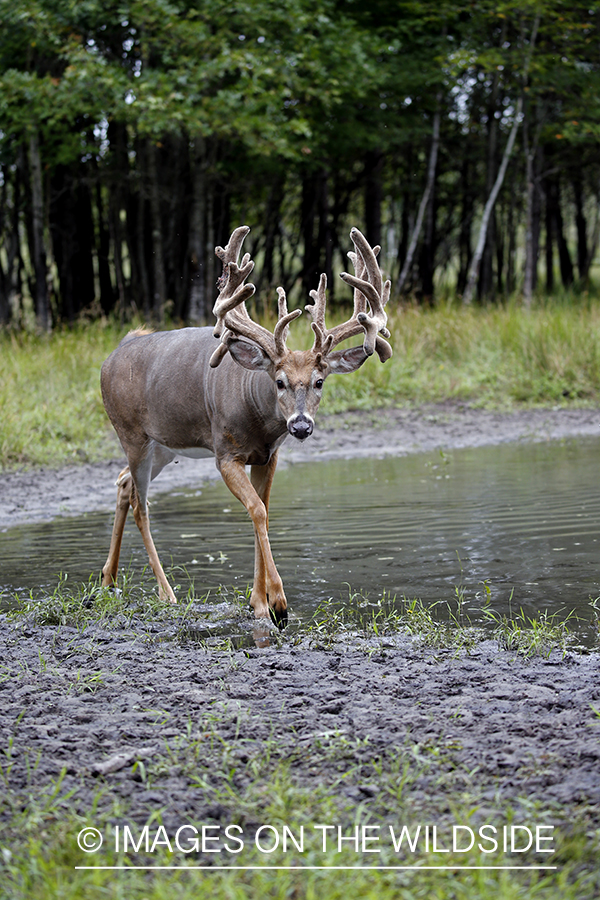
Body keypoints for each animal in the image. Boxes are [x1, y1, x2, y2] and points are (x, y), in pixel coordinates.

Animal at [101, 223, 394, 624]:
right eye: (279, 381)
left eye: (319, 381)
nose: (300, 427)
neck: (257, 419)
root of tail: (111, 356)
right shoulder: (225, 453)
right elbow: (256, 510)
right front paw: (278, 603)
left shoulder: (268, 456)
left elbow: (264, 510)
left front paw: (258, 602)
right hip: (131, 434)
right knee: (140, 503)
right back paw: (166, 592)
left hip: (163, 444)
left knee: (123, 482)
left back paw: (108, 580)